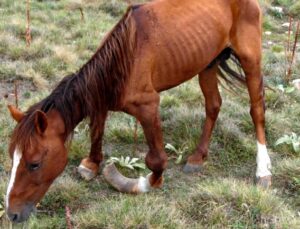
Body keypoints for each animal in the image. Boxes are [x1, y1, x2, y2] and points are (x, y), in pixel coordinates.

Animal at [5, 0, 272, 222]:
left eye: (34, 164)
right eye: (12, 157)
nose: (12, 214)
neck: (124, 59)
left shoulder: (148, 107)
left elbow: (156, 161)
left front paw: (138, 183)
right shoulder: (100, 99)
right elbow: (96, 132)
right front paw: (92, 164)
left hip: (250, 58)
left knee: (256, 110)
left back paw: (263, 170)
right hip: (207, 62)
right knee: (213, 106)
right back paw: (198, 157)